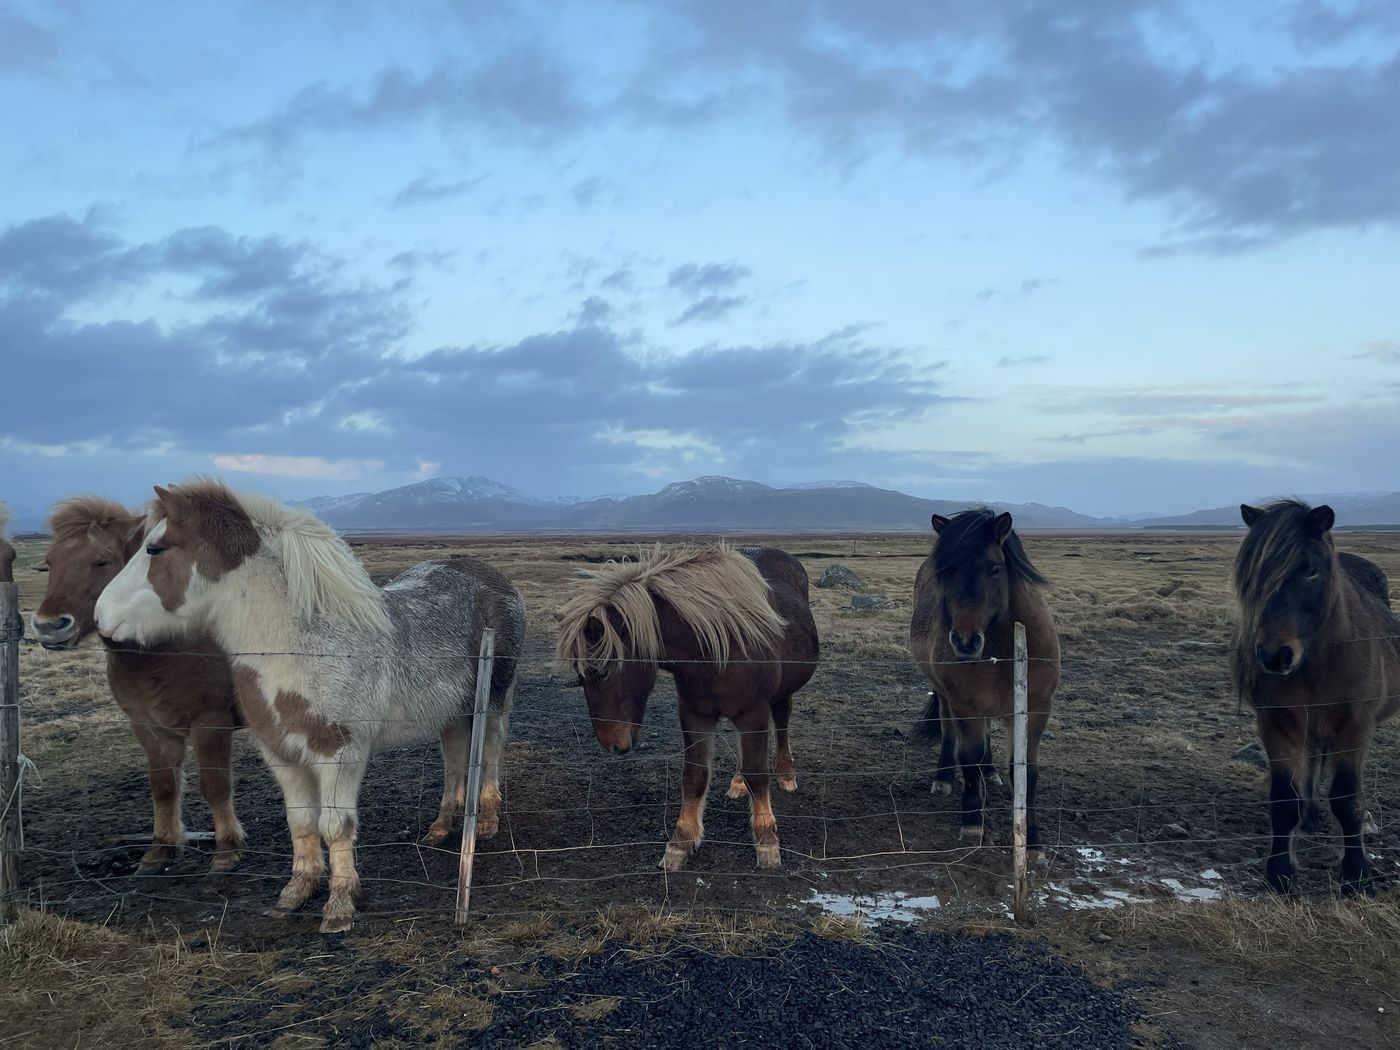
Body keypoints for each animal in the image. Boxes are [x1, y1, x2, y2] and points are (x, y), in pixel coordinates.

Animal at [30, 497, 244, 873]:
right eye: (50, 562)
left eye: (101, 561)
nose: (48, 627)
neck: (166, 645)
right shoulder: (149, 726)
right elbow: (163, 786)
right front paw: (162, 847)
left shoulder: (211, 722)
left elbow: (216, 785)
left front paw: (227, 849)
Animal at [95, 479, 526, 933]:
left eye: (154, 549)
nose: (101, 617)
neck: (303, 646)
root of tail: (493, 577)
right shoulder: (280, 752)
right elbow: (301, 823)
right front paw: (296, 892)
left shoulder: (339, 752)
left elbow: (335, 826)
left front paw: (340, 905)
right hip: (452, 712)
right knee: (455, 759)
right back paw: (441, 827)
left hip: (492, 701)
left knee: (489, 753)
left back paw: (488, 819)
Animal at [555, 545, 818, 872]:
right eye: (579, 677)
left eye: (600, 673)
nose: (612, 745)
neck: (716, 646)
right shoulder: (695, 715)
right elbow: (694, 776)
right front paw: (680, 843)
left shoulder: (752, 713)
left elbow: (758, 775)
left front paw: (767, 841)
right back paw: (737, 782)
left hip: (779, 696)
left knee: (782, 720)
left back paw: (786, 774)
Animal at [909, 508, 1060, 847]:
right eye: (947, 572)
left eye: (994, 568)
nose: (965, 641)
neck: (1004, 650)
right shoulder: (966, 705)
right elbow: (969, 758)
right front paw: (972, 822)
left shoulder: (1035, 709)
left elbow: (1026, 770)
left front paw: (1032, 841)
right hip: (947, 697)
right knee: (948, 729)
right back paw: (943, 777)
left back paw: (991, 771)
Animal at [1232, 500, 1400, 895]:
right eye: (1252, 576)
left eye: (1310, 571)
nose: (1275, 656)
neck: (1318, 660)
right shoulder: (1277, 723)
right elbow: (1284, 799)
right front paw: (1279, 874)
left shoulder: (1355, 726)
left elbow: (1347, 800)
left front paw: (1356, 875)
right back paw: (1309, 819)